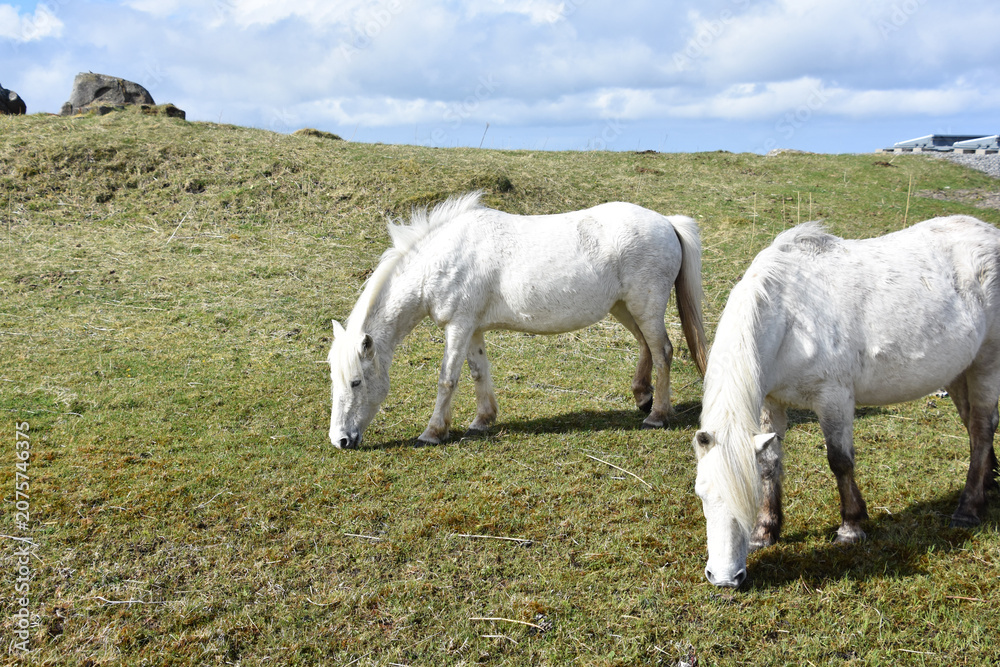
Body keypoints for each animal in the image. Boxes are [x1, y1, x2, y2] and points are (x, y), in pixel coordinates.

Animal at [328, 192, 708, 449]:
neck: (441, 257)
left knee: (662, 351)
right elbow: (478, 372)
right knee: (647, 346)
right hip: (625, 307)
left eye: (356, 382)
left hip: (645, 305)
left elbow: (447, 379)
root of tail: (667, 222)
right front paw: (482, 420)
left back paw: (657, 415)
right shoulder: (472, 329)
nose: (340, 440)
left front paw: (432, 432)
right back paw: (642, 397)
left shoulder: (458, 326)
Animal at [693, 215, 1000, 588]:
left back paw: (968, 509)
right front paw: (765, 532)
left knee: (981, 429)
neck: (789, 318)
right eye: (702, 494)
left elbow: (839, 461)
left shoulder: (834, 399)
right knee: (975, 428)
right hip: (959, 370)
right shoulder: (771, 402)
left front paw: (851, 528)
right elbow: (769, 464)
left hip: (987, 363)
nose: (724, 578)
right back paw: (987, 483)